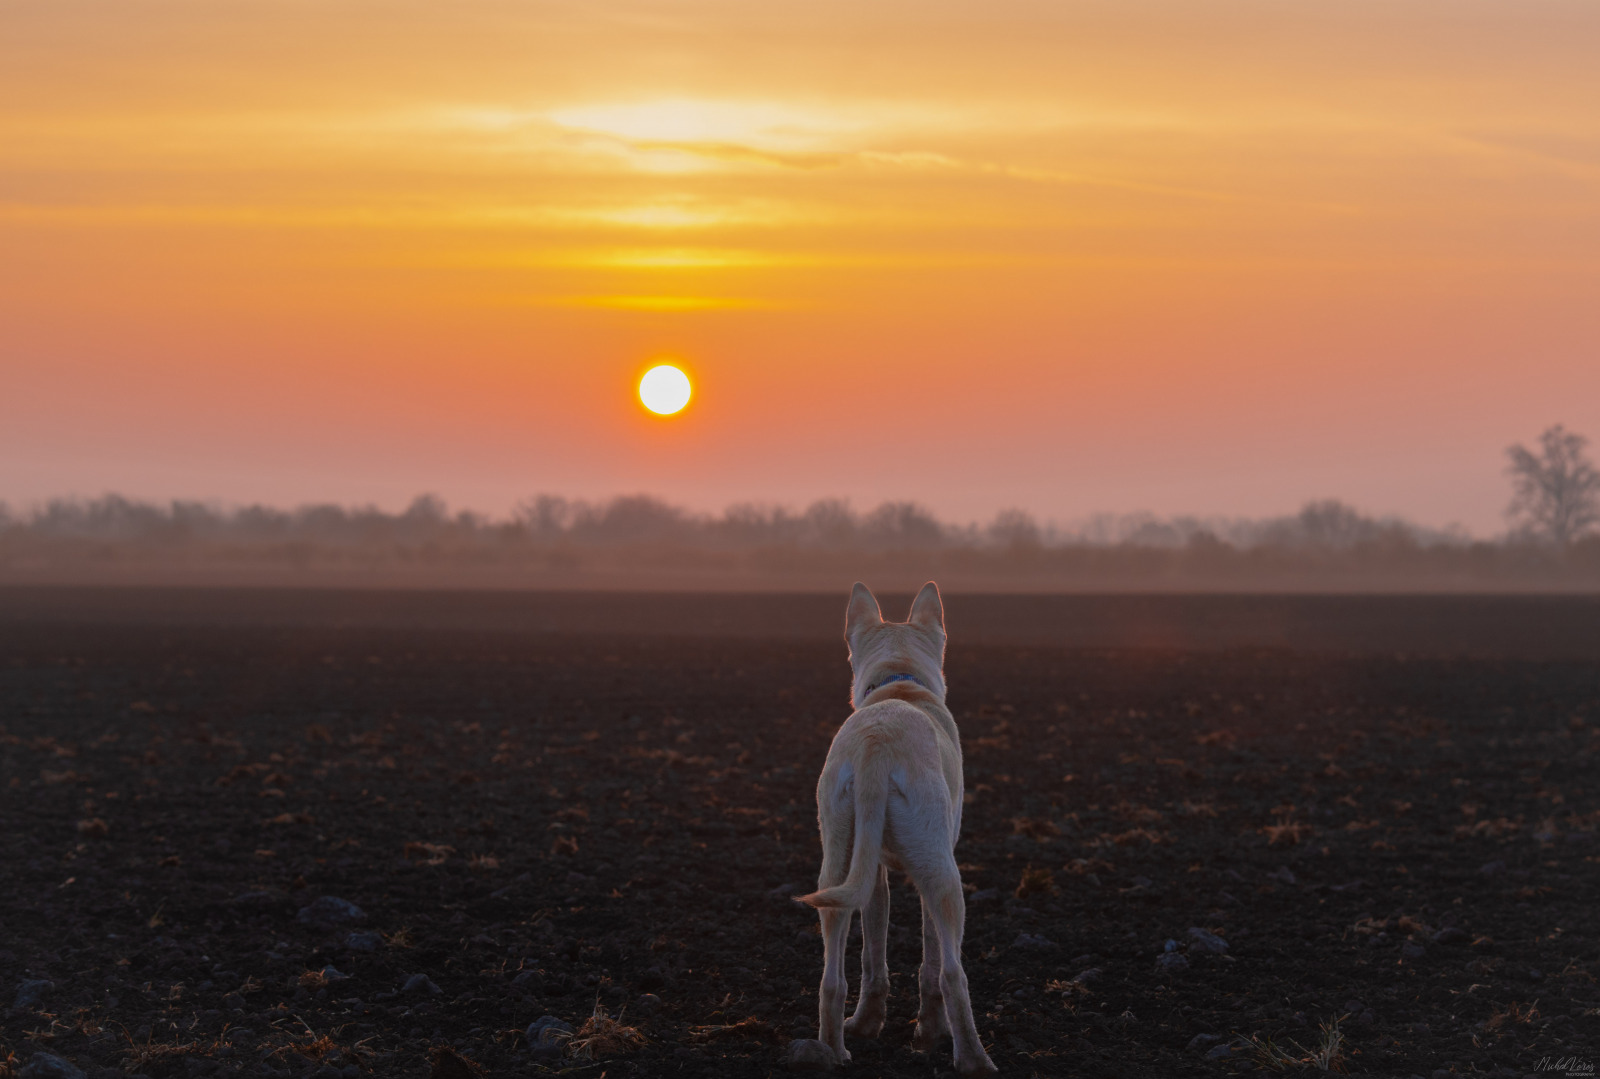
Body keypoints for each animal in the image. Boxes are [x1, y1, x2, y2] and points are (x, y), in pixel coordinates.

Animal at [796, 582, 992, 1069]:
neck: (900, 685)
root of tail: (875, 749)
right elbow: (931, 962)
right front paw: (929, 1032)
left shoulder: (875, 872)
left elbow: (874, 953)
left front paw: (869, 1023)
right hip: (943, 875)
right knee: (953, 974)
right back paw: (974, 1059)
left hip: (838, 864)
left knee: (832, 978)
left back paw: (834, 1050)